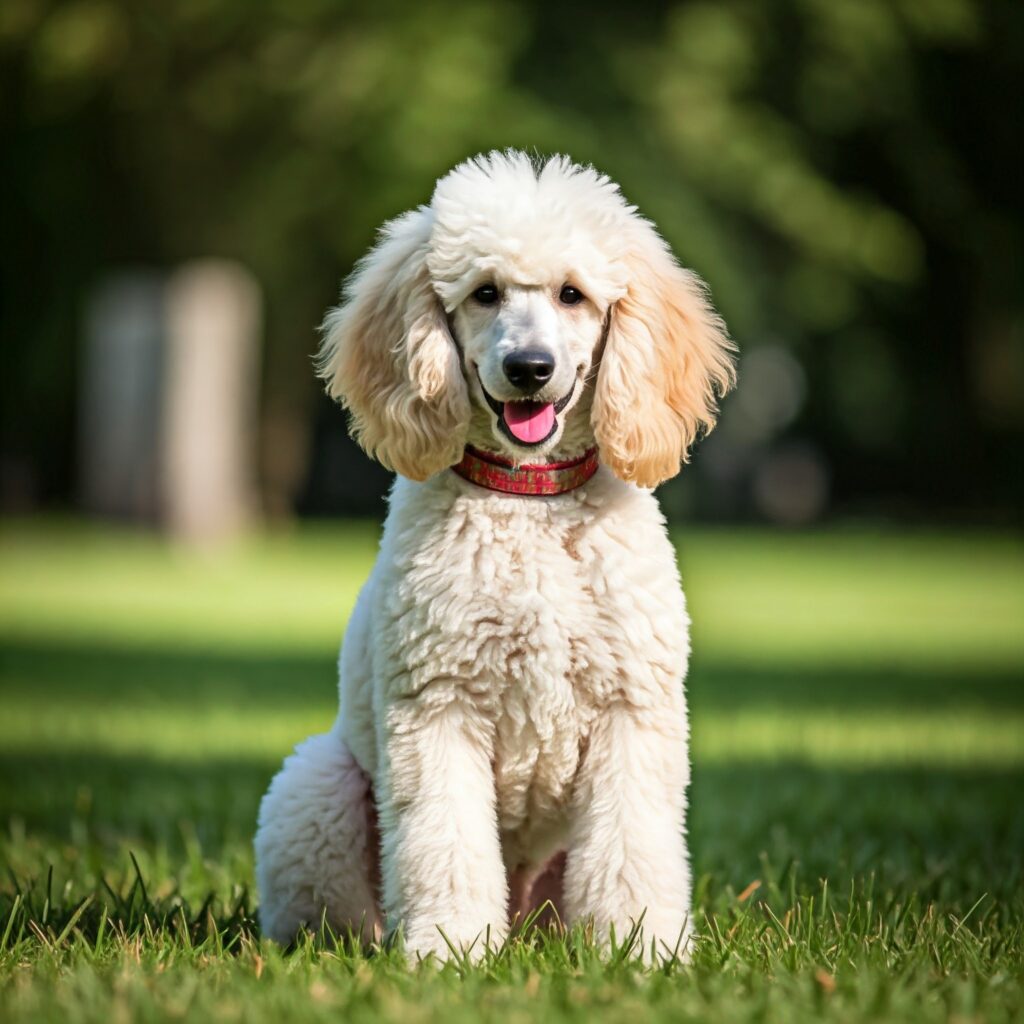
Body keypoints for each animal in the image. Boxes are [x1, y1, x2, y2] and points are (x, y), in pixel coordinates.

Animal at [256, 149, 737, 958]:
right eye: (484, 293)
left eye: (573, 295)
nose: (530, 368)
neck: (530, 499)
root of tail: (525, 920)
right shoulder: (437, 708)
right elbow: (443, 841)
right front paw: (448, 950)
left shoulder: (632, 713)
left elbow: (633, 849)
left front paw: (641, 951)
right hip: (315, 786)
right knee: (336, 910)